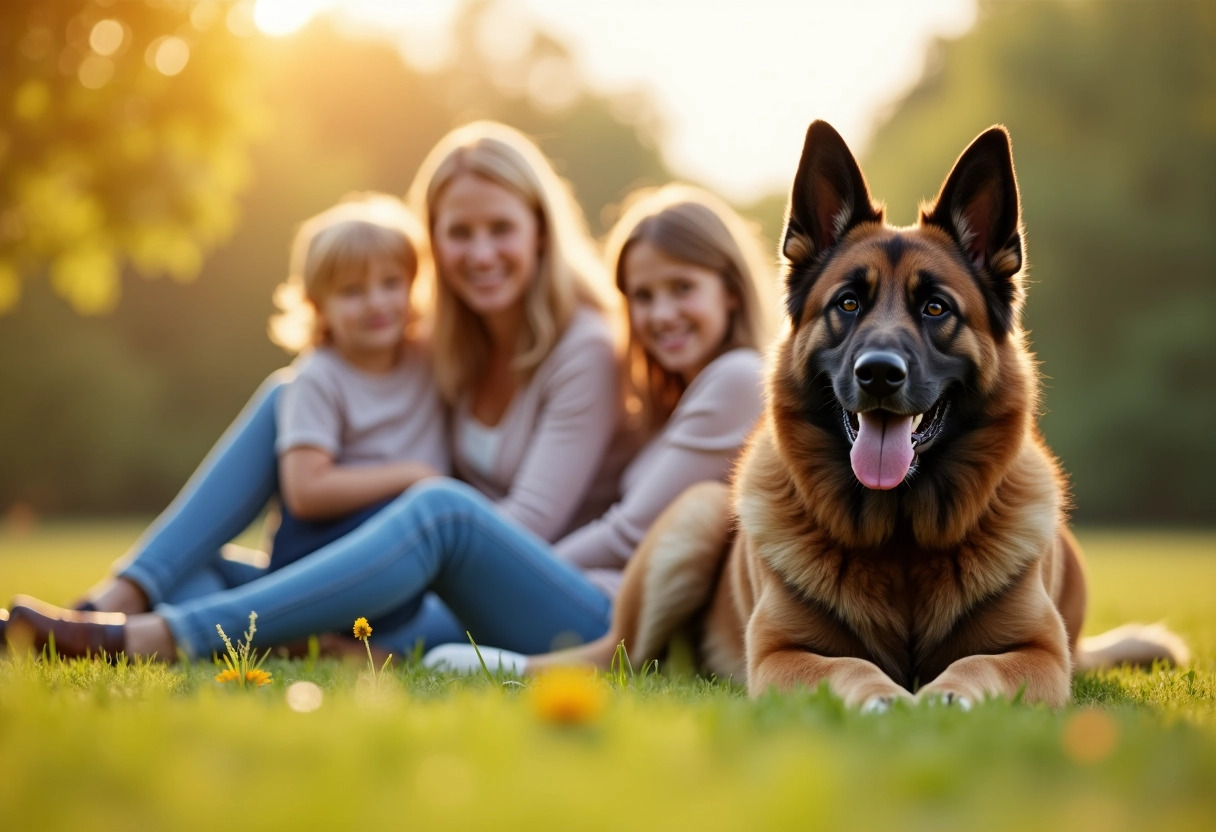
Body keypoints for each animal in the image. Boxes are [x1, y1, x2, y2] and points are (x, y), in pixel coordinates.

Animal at [537, 118, 1191, 710]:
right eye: (848, 303)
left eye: (936, 308)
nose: (878, 373)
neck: (900, 539)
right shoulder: (780, 654)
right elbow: (848, 666)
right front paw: (885, 699)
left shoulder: (1041, 653)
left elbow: (978, 664)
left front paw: (947, 695)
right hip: (691, 520)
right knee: (614, 661)